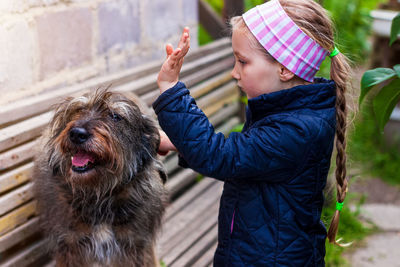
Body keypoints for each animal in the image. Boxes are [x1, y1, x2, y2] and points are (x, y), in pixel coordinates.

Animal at [32, 89, 167, 267]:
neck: (99, 194)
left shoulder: (137, 246)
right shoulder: (70, 246)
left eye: (115, 116)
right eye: (79, 109)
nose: (76, 134)